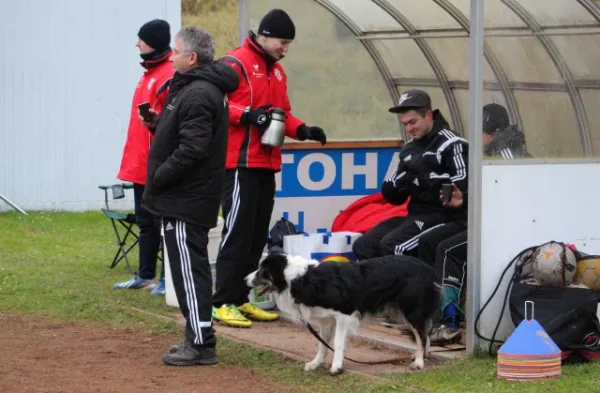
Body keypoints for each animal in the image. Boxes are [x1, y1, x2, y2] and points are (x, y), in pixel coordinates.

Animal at [245, 251, 440, 374]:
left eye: (263, 271)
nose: (245, 279)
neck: (299, 279)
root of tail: (428, 268)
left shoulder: (344, 314)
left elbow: (338, 342)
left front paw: (337, 366)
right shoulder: (326, 320)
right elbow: (322, 344)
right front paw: (316, 363)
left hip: (411, 309)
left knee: (422, 335)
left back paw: (419, 362)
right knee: (425, 333)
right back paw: (420, 355)